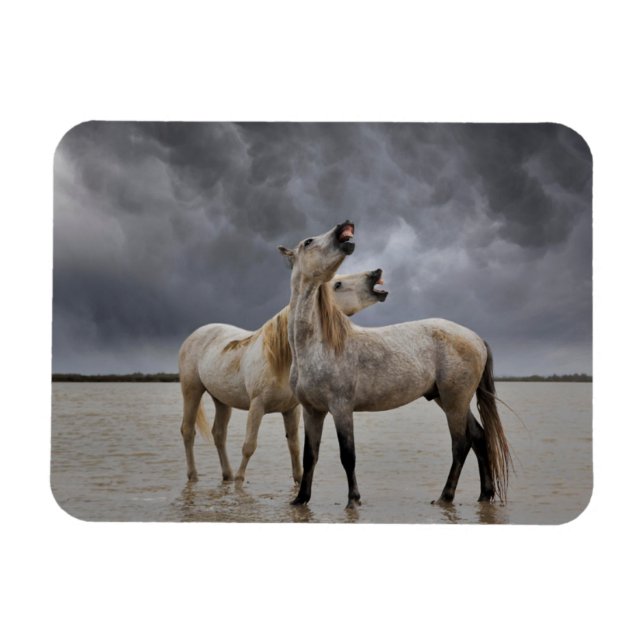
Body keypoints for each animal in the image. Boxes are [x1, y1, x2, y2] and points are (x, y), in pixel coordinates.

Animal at [178, 268, 389, 484]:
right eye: (337, 284)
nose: (374, 274)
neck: (279, 359)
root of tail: (196, 334)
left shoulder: (291, 409)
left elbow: (294, 446)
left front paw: (298, 480)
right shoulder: (257, 406)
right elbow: (249, 445)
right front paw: (240, 479)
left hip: (221, 399)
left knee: (219, 434)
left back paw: (227, 475)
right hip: (192, 390)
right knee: (188, 431)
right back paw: (194, 475)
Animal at [278, 221, 511, 509]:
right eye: (309, 242)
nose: (344, 228)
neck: (316, 346)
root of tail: (475, 337)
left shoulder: (341, 409)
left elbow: (348, 456)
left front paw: (353, 500)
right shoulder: (313, 411)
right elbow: (310, 456)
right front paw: (300, 499)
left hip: (455, 402)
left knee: (461, 444)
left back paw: (445, 496)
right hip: (447, 400)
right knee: (479, 437)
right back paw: (484, 494)